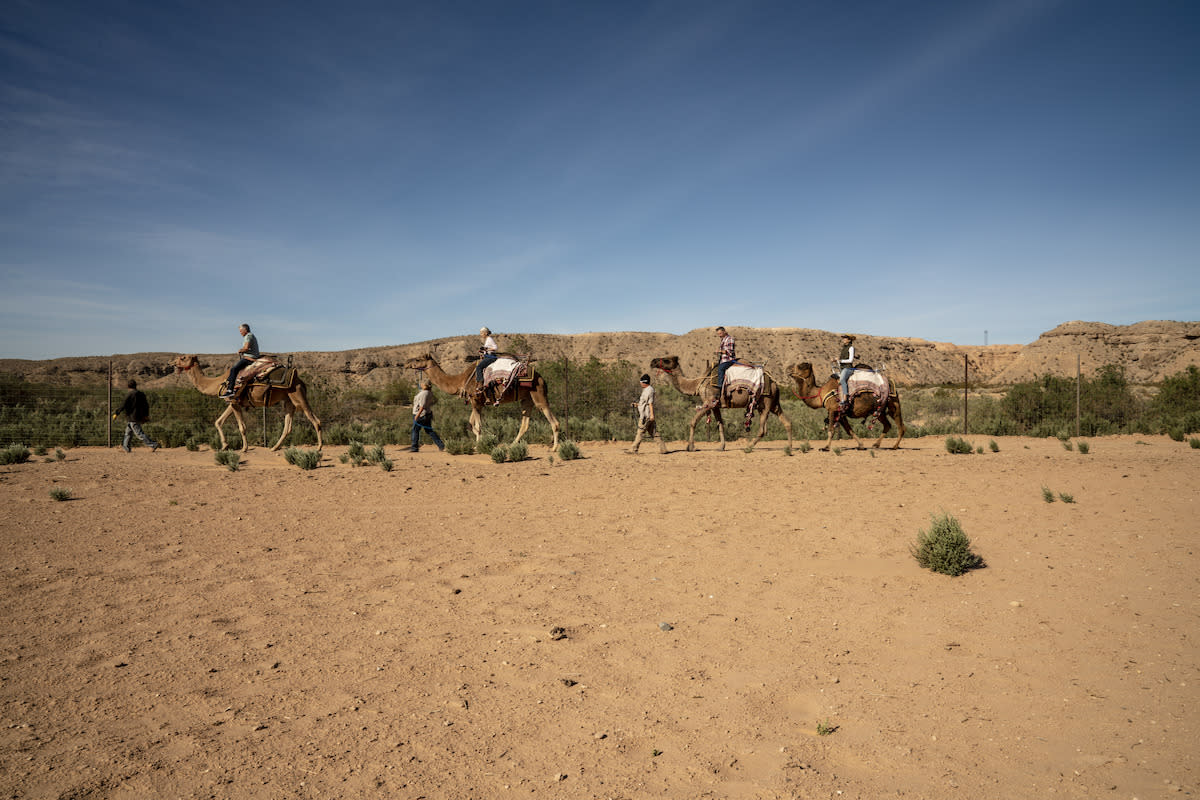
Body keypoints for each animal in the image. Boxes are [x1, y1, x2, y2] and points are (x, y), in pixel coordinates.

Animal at [171, 355, 324, 453]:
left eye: (183, 358)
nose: (171, 363)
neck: (218, 382)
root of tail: (299, 379)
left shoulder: (233, 400)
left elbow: (242, 427)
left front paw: (244, 448)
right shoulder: (233, 401)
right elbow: (218, 422)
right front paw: (225, 446)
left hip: (298, 395)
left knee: (315, 420)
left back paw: (319, 448)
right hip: (288, 401)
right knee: (288, 427)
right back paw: (274, 447)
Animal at [398, 352, 556, 448]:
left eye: (418, 359)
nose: (405, 363)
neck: (461, 380)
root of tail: (542, 378)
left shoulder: (475, 400)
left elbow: (478, 426)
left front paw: (479, 445)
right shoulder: (478, 403)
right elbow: (470, 425)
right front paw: (484, 441)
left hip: (538, 393)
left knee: (553, 420)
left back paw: (554, 448)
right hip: (526, 398)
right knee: (525, 423)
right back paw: (512, 444)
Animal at [652, 355, 792, 450]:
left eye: (667, 360)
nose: (653, 361)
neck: (697, 383)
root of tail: (774, 383)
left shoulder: (709, 401)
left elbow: (693, 422)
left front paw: (690, 447)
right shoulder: (715, 405)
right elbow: (720, 424)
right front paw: (721, 447)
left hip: (766, 402)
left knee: (763, 430)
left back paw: (748, 448)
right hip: (772, 404)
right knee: (787, 422)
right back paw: (789, 448)